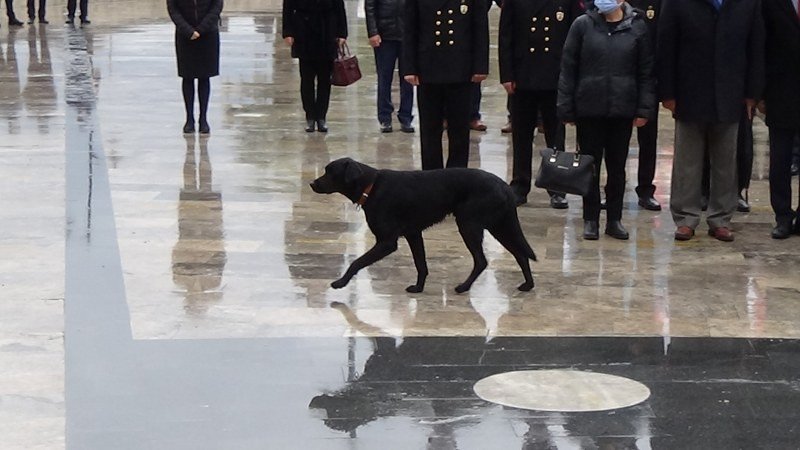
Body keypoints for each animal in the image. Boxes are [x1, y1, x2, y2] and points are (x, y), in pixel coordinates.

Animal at [308, 157, 536, 292]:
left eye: (330, 171)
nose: (311, 183)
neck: (371, 187)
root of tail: (505, 186)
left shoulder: (387, 242)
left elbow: (357, 262)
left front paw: (340, 282)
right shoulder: (414, 234)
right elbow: (421, 264)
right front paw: (419, 288)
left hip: (469, 224)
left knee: (481, 261)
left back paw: (464, 287)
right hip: (500, 226)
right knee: (520, 254)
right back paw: (528, 284)